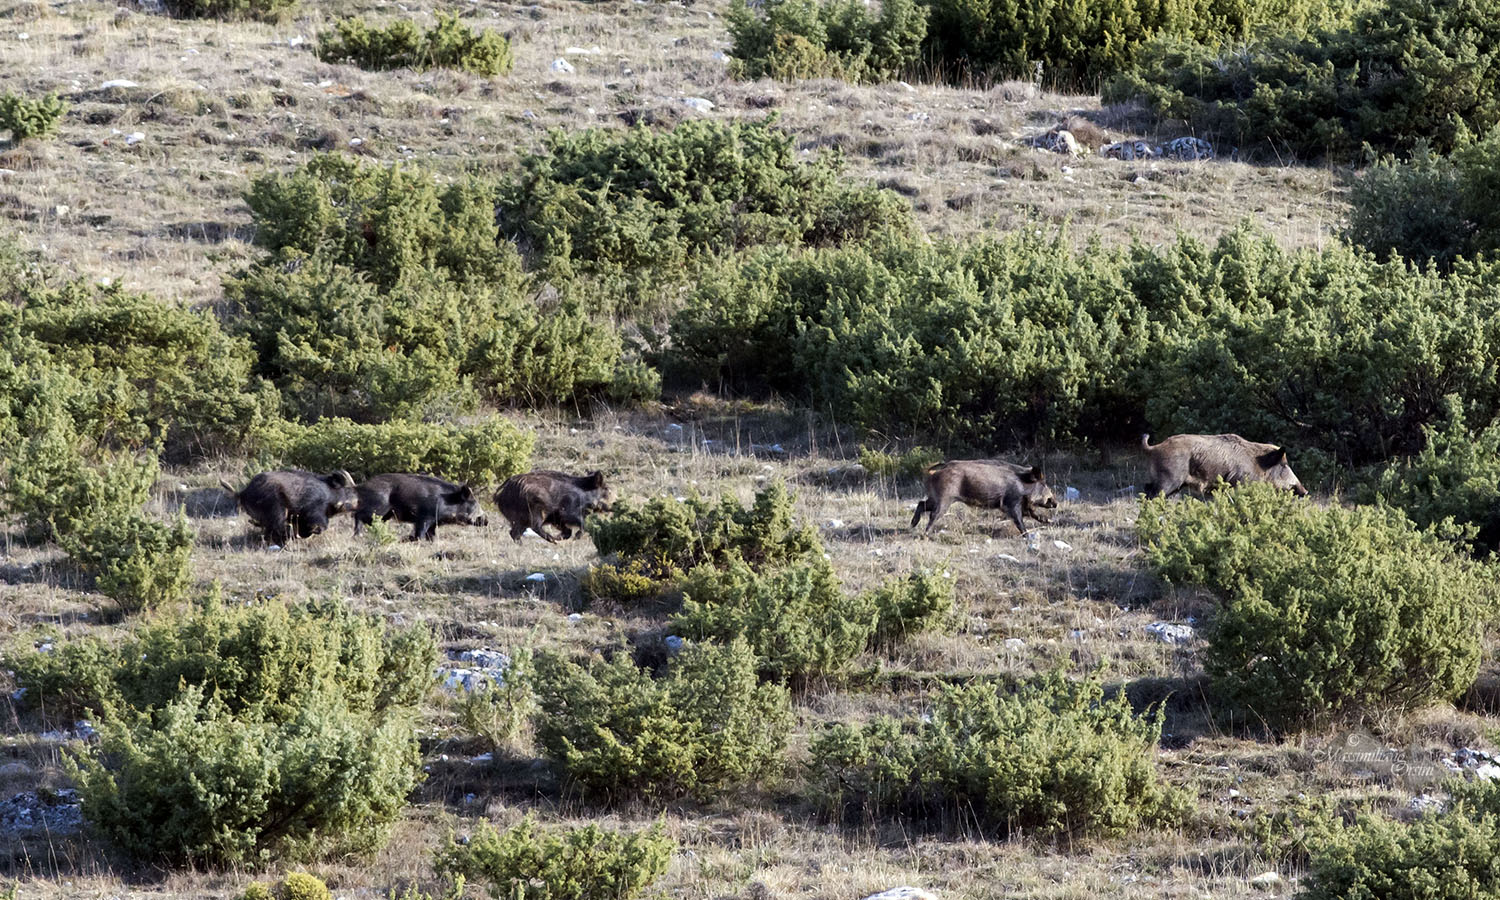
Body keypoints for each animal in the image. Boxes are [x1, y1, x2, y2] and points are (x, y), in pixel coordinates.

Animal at [220, 469, 357, 545]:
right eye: (348, 488)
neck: (329, 493)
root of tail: (242, 493)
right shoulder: (315, 510)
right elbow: (319, 526)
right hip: (276, 507)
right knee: (278, 526)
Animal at [352, 473, 487, 541]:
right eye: (474, 505)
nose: (486, 521)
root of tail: (362, 486)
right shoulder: (425, 517)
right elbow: (421, 532)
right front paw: (417, 540)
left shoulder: (434, 521)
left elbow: (432, 534)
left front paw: (432, 541)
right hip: (378, 506)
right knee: (358, 514)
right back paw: (358, 535)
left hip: (385, 514)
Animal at [910, 459, 1058, 535]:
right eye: (1043, 484)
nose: (1056, 503)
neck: (1022, 483)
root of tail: (935, 472)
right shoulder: (1011, 502)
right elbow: (1019, 519)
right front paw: (1026, 535)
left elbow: (1032, 514)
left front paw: (1049, 521)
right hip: (945, 498)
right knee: (933, 514)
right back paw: (925, 534)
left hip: (935, 497)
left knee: (921, 504)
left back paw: (913, 525)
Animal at [1140, 433, 1308, 498]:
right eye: (1284, 465)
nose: (1305, 492)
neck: (1259, 465)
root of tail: (1154, 448)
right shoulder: (1240, 482)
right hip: (1168, 480)